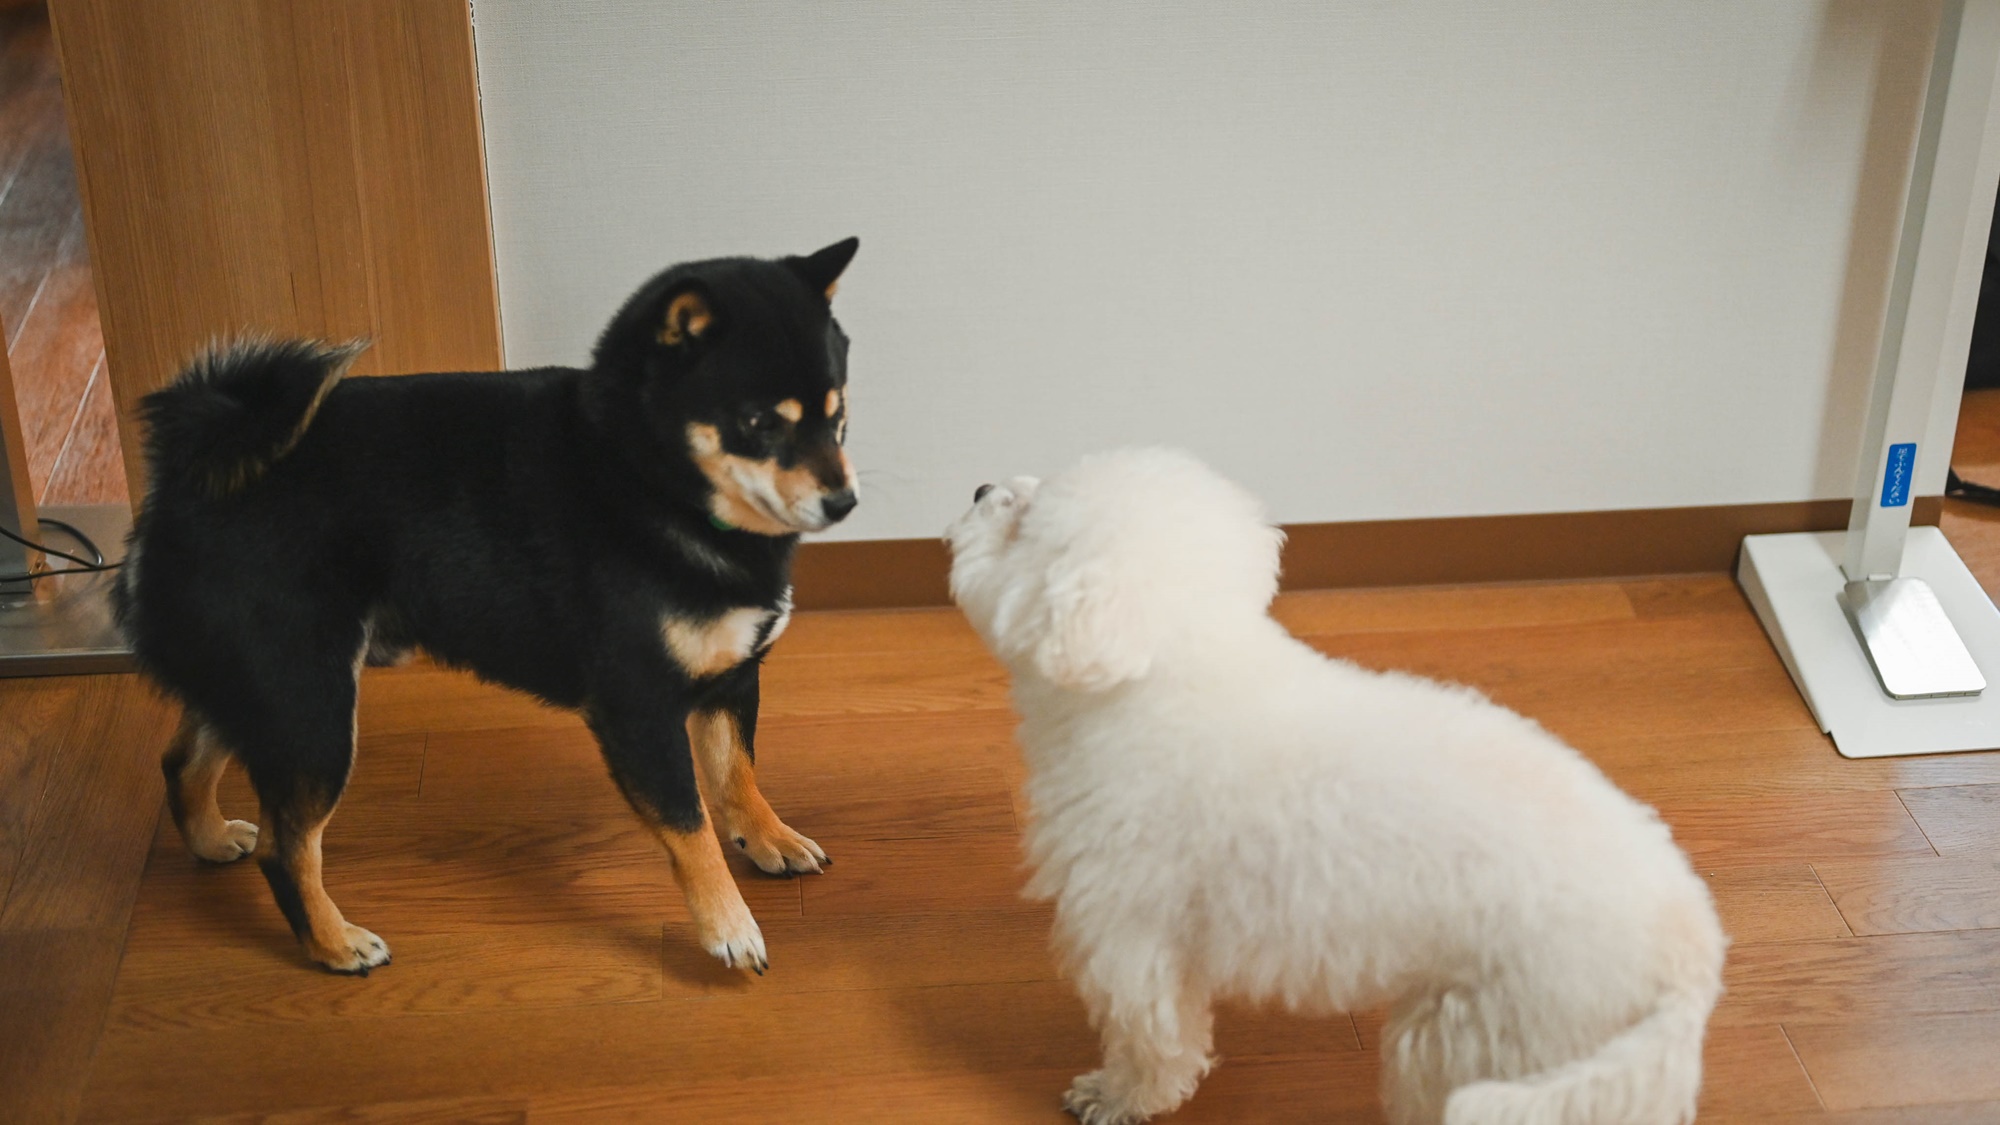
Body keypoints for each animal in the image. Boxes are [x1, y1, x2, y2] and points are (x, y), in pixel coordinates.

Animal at [111, 238, 860, 972]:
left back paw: (210, 840)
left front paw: (768, 837)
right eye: (758, 424)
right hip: (312, 709)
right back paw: (333, 943)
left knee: (182, 761)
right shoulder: (640, 708)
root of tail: (186, 472)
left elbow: (736, 777)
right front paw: (729, 926)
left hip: (262, 689)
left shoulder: (729, 678)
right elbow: (690, 826)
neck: (640, 476)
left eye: (839, 413)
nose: (845, 501)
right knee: (284, 847)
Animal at [944, 446, 1728, 1120]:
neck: (1164, 678)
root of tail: (1691, 956)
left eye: (1021, 522)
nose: (978, 487)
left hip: (1483, 1032)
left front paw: (1116, 1097)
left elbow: (1153, 1041)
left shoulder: (1130, 934)